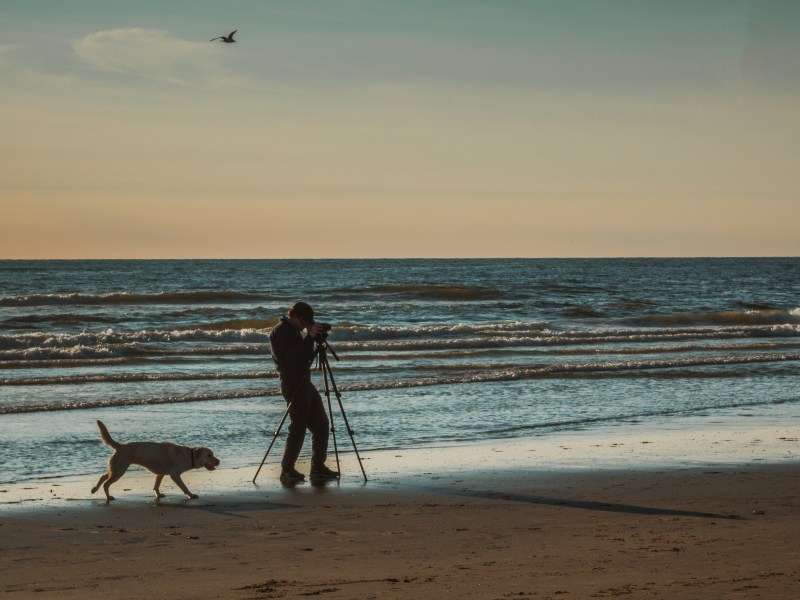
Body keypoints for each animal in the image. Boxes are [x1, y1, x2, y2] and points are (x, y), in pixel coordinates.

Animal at [91, 420, 219, 504]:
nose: (219, 461)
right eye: (209, 455)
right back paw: (108, 497)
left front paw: (158, 495)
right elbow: (184, 487)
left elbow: (156, 485)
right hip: (119, 470)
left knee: (103, 476)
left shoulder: (160, 474)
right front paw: (191, 495)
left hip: (116, 469)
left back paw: (94, 489)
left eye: (212, 454)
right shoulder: (175, 475)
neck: (189, 455)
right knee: (106, 483)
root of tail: (120, 446)